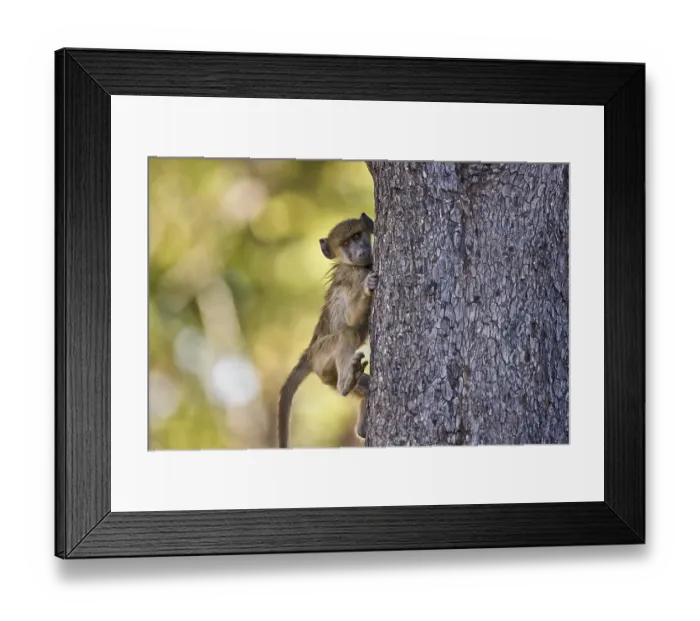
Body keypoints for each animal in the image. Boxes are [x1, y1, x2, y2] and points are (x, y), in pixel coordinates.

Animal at [277, 212, 377, 449]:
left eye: (357, 235)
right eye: (345, 243)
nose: (360, 251)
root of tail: (308, 354)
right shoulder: (354, 277)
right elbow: (351, 318)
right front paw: (367, 288)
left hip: (326, 373)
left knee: (365, 385)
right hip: (322, 356)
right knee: (346, 334)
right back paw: (345, 385)